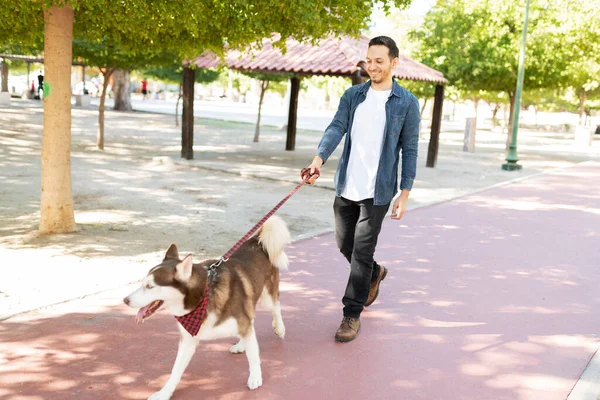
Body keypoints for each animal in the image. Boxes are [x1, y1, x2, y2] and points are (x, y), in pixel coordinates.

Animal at [122, 217, 290, 398]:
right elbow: (175, 370)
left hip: (267, 297)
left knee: (276, 309)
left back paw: (280, 328)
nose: (125, 300)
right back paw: (241, 345)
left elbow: (253, 356)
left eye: (150, 286)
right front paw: (165, 392)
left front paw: (255, 377)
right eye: (142, 283)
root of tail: (257, 240)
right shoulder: (188, 340)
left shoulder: (242, 321)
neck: (203, 297)